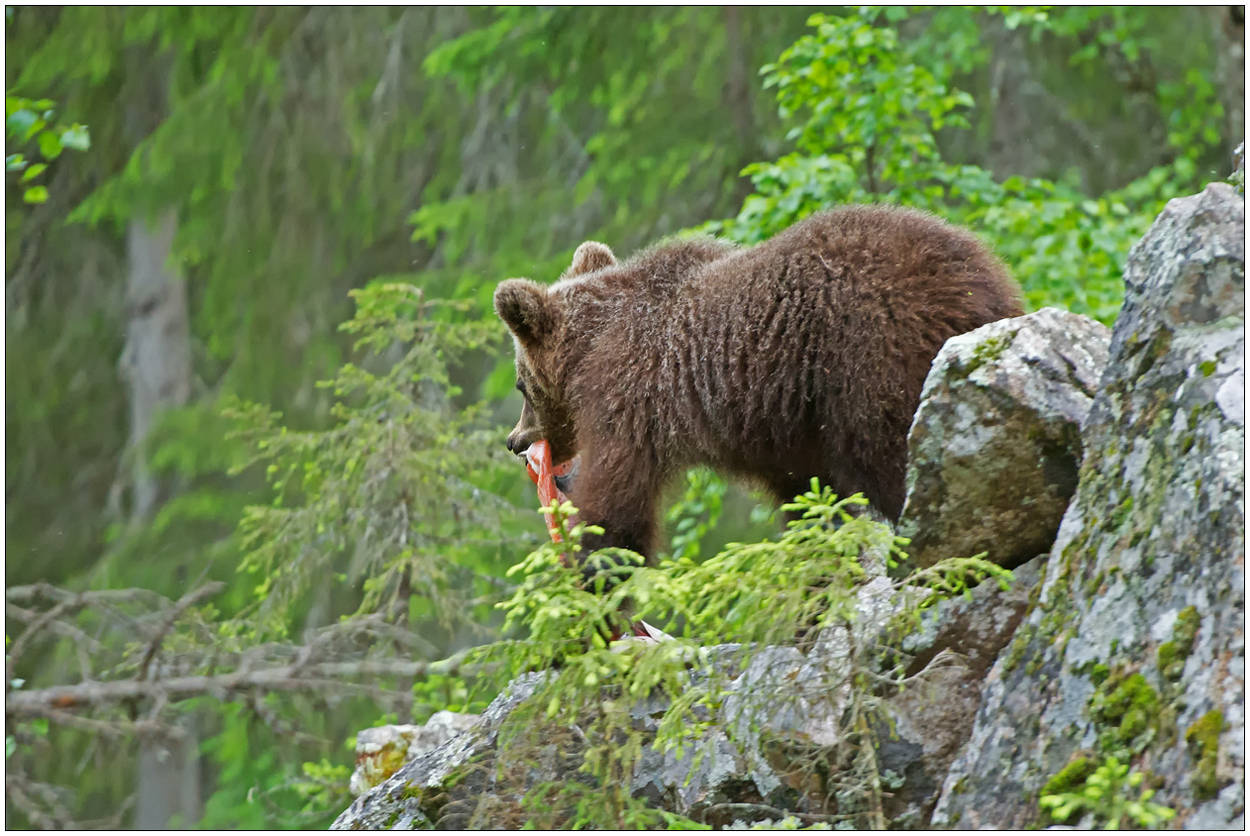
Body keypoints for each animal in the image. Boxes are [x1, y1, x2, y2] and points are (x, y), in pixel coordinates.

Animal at [492, 206, 1020, 559]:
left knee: (891, 450)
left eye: (520, 386)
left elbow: (615, 503)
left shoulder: (629, 397)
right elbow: (809, 495)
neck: (593, 343)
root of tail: (979, 278)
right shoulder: (780, 429)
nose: (514, 441)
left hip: (872, 355)